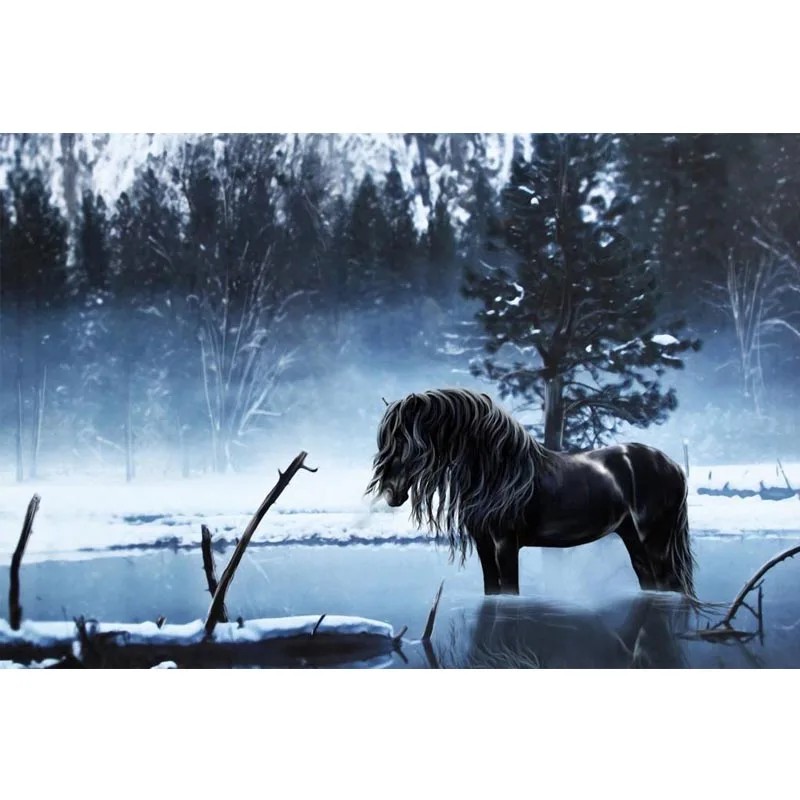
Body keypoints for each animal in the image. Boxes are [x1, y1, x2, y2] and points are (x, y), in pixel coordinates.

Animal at [366, 387, 696, 598]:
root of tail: (673, 466)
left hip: (655, 541)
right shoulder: (484, 544)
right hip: (633, 540)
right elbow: (492, 590)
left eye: (406, 441)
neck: (498, 473)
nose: (392, 493)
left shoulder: (505, 544)